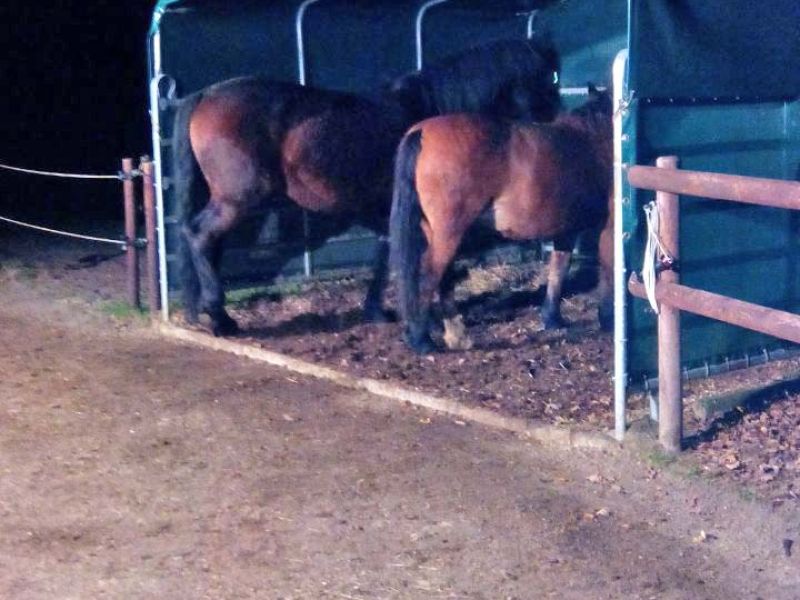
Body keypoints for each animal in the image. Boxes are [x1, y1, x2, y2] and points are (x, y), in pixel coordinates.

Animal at [173, 37, 561, 336]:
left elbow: (384, 255)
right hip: (238, 199)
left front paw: (377, 310)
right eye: (550, 81)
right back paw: (219, 317)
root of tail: (206, 94)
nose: (556, 127)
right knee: (200, 236)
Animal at [389, 85, 614, 354]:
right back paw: (422, 340)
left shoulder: (566, 229)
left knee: (443, 277)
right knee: (429, 275)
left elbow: (558, 268)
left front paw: (552, 319)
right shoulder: (608, 226)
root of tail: (421, 132)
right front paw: (607, 319)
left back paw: (455, 336)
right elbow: (607, 268)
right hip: (449, 232)